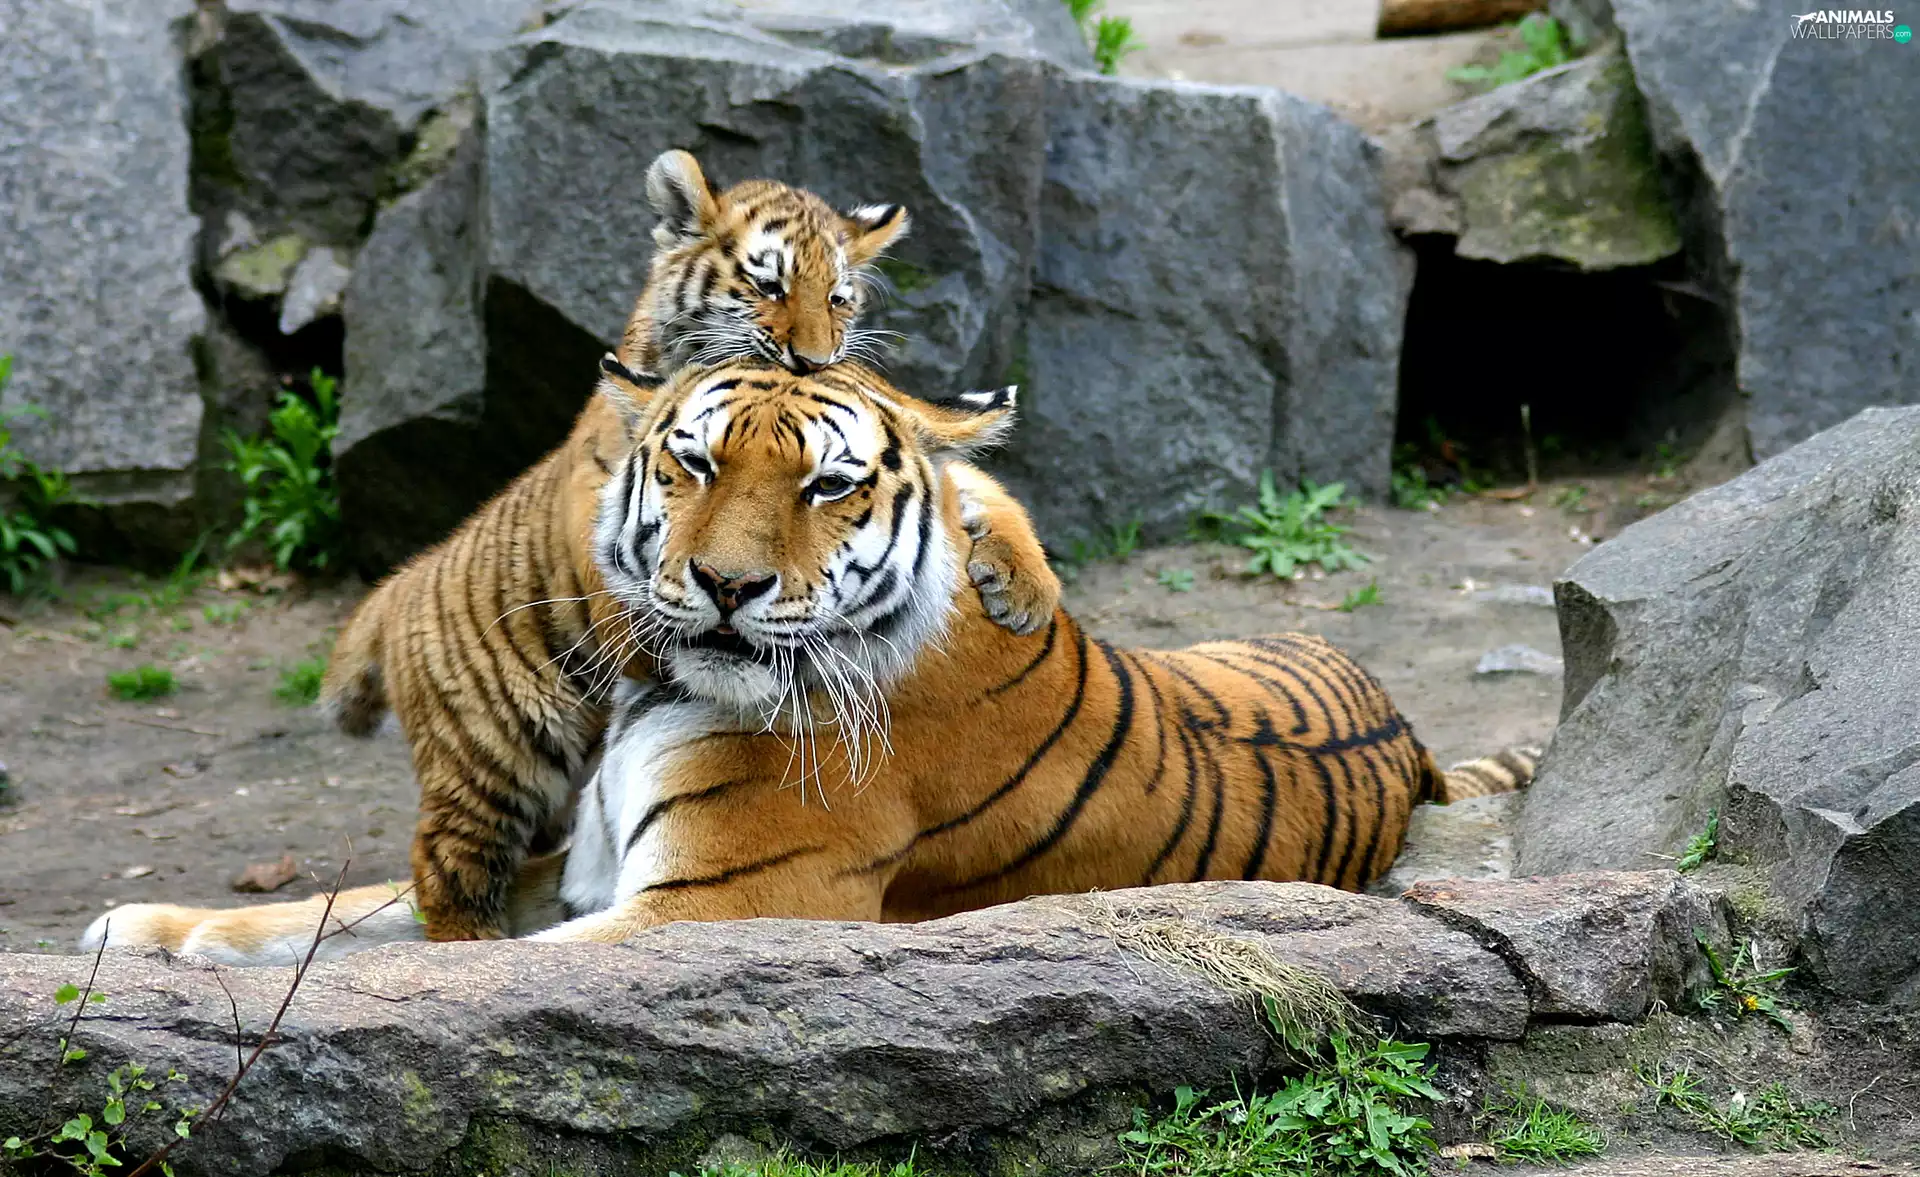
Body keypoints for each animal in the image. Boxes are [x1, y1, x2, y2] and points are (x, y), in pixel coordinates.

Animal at [86, 360, 1535, 964]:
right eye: (692, 462)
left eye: (830, 485)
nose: (724, 586)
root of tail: (1411, 739)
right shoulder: (569, 870)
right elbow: (338, 910)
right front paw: (146, 932)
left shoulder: (711, 905)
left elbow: (442, 967)